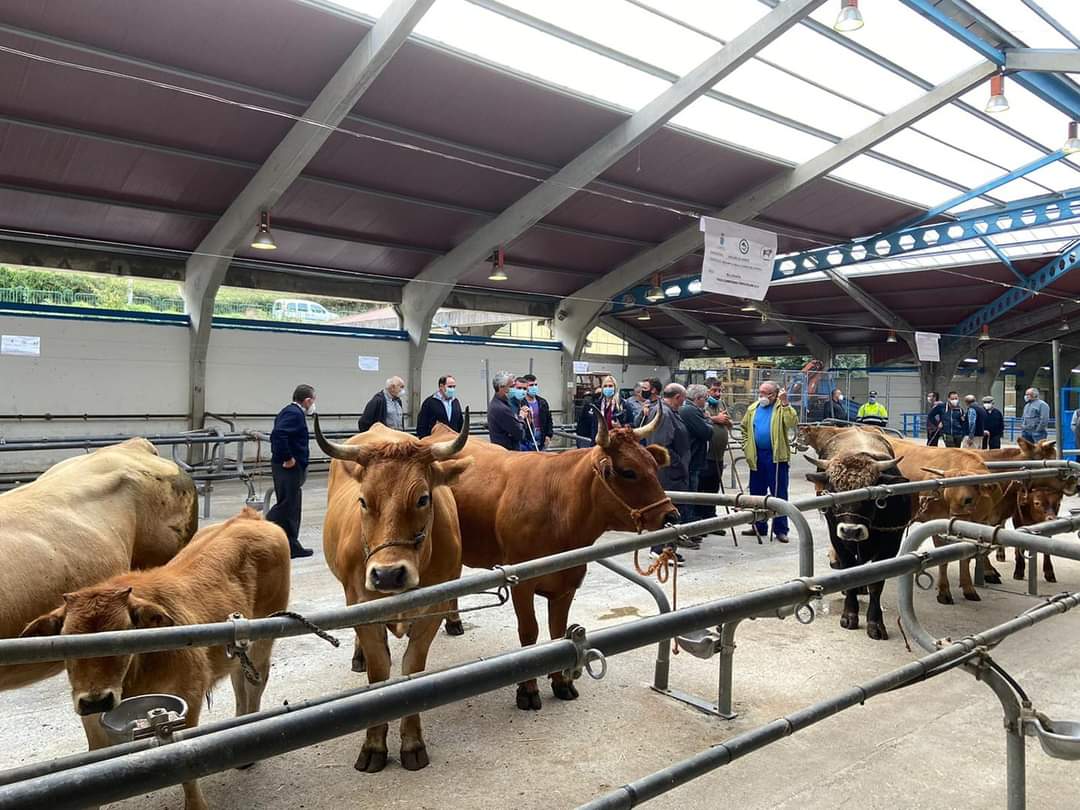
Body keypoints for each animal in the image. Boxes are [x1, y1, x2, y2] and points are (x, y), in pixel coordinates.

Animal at [22, 509, 291, 807]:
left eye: (123, 635)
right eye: (65, 641)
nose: (97, 700)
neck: (136, 675)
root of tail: (249, 517)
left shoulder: (188, 697)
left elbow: (185, 763)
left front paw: (196, 805)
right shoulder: (90, 717)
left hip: (263, 639)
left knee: (254, 685)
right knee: (238, 682)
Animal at [313, 414, 468, 777]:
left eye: (423, 498)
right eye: (363, 500)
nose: (386, 574)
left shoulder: (433, 607)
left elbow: (412, 667)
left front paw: (412, 744)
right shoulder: (362, 605)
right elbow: (379, 670)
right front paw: (373, 747)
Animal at [427, 412, 673, 708]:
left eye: (653, 465)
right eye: (629, 471)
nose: (671, 515)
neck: (559, 509)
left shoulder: (568, 582)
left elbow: (557, 632)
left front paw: (561, 683)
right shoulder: (521, 584)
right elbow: (529, 632)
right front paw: (527, 690)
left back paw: (454, 621)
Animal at [803, 425, 911, 639]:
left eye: (870, 495)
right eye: (833, 490)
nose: (851, 531)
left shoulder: (891, 545)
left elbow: (876, 584)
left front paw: (875, 623)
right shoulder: (838, 540)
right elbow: (848, 570)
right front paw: (849, 615)